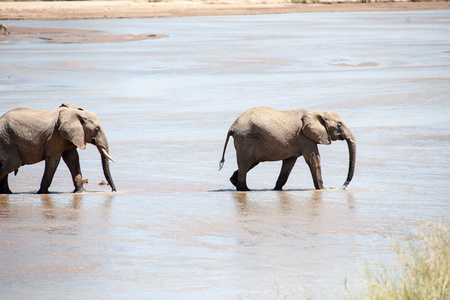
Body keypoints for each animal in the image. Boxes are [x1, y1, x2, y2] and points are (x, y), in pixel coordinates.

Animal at [220, 106, 356, 191]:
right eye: (339, 125)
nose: (343, 186)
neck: (317, 112)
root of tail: (232, 127)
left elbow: (289, 163)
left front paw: (276, 190)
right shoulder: (303, 136)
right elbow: (313, 159)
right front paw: (322, 189)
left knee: (250, 162)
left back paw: (235, 182)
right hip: (246, 139)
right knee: (245, 163)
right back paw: (246, 190)